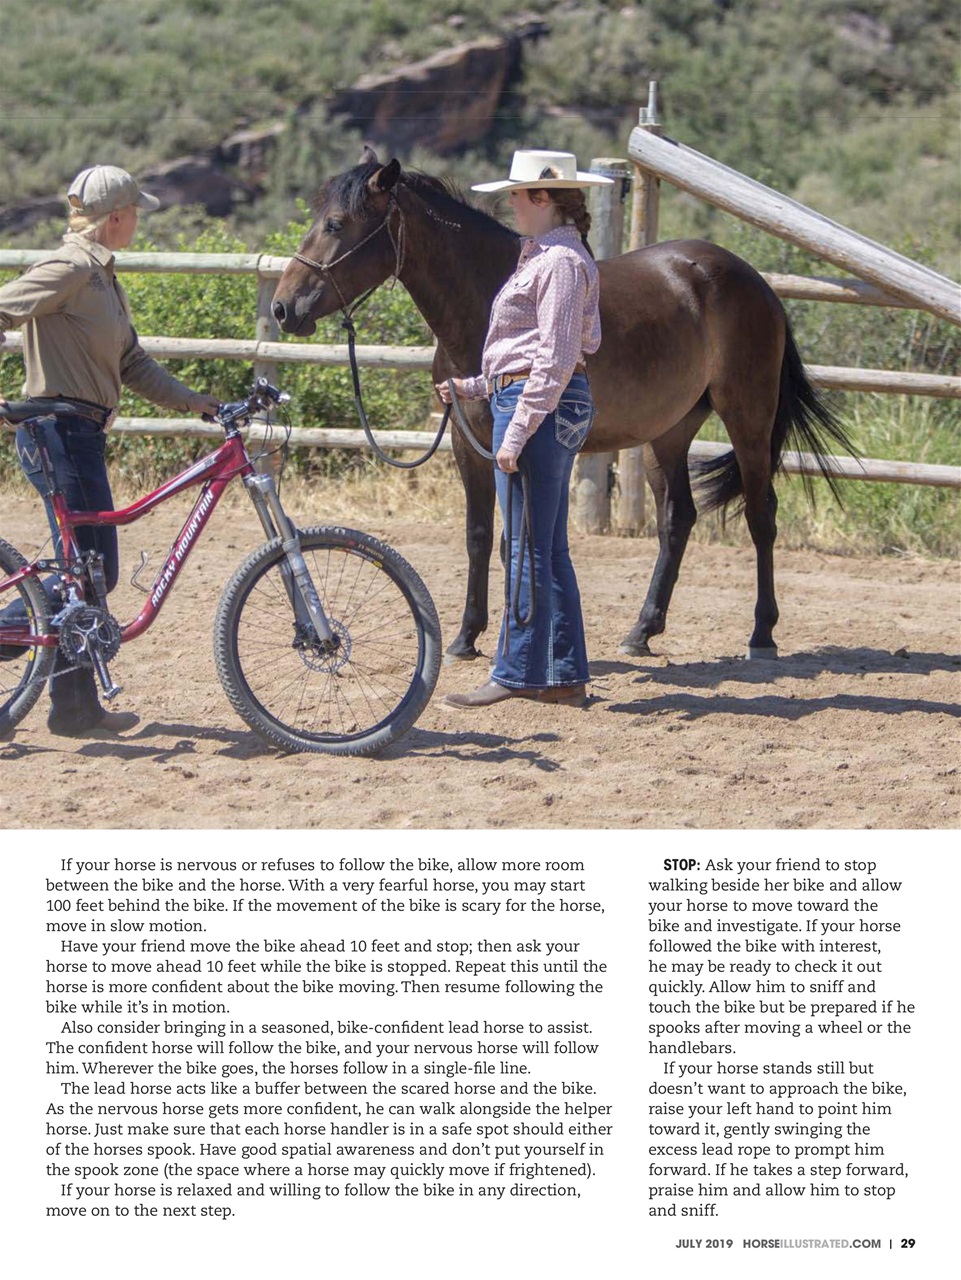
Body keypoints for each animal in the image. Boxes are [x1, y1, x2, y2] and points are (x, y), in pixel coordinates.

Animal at [271, 148, 853, 664]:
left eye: (337, 223)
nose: (282, 307)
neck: (486, 300)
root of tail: (755, 282)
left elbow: (518, 539)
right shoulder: (467, 440)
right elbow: (481, 537)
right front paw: (466, 637)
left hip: (748, 416)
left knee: (760, 515)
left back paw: (761, 634)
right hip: (668, 431)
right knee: (677, 518)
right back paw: (642, 631)